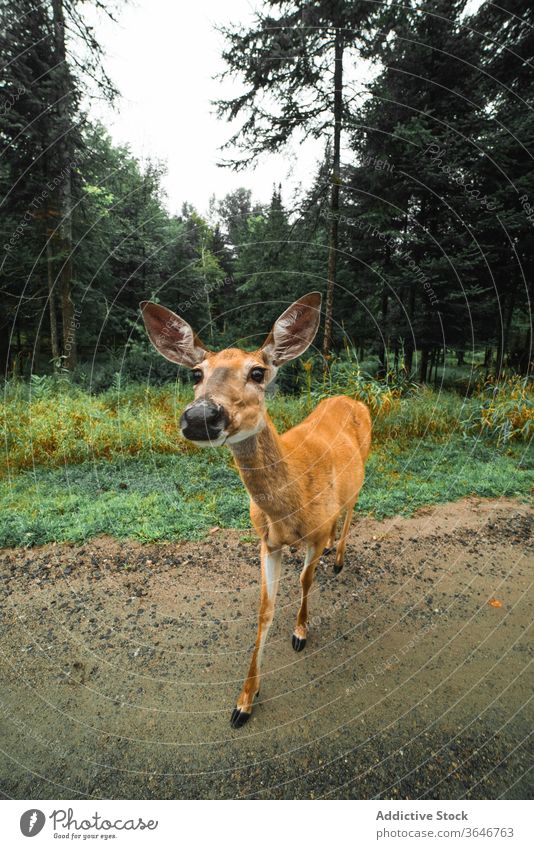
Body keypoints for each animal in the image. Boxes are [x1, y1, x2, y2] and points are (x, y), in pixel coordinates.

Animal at [139, 294, 372, 728]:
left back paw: (339, 557)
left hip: (363, 470)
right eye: (196, 373)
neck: (290, 503)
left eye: (258, 372)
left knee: (351, 509)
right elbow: (265, 610)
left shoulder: (312, 536)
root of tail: (350, 397)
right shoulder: (266, 541)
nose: (200, 416)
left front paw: (300, 633)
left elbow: (305, 581)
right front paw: (244, 701)